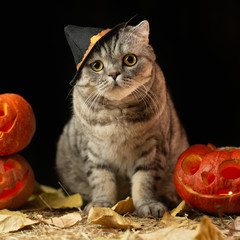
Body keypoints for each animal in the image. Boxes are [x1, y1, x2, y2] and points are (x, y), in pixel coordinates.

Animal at [55, 20, 188, 218]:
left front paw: (148, 205)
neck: (118, 116)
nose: (113, 74)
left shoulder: (153, 150)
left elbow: (144, 181)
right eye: (96, 65)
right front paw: (101, 205)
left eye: (130, 59)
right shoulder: (93, 152)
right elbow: (101, 181)